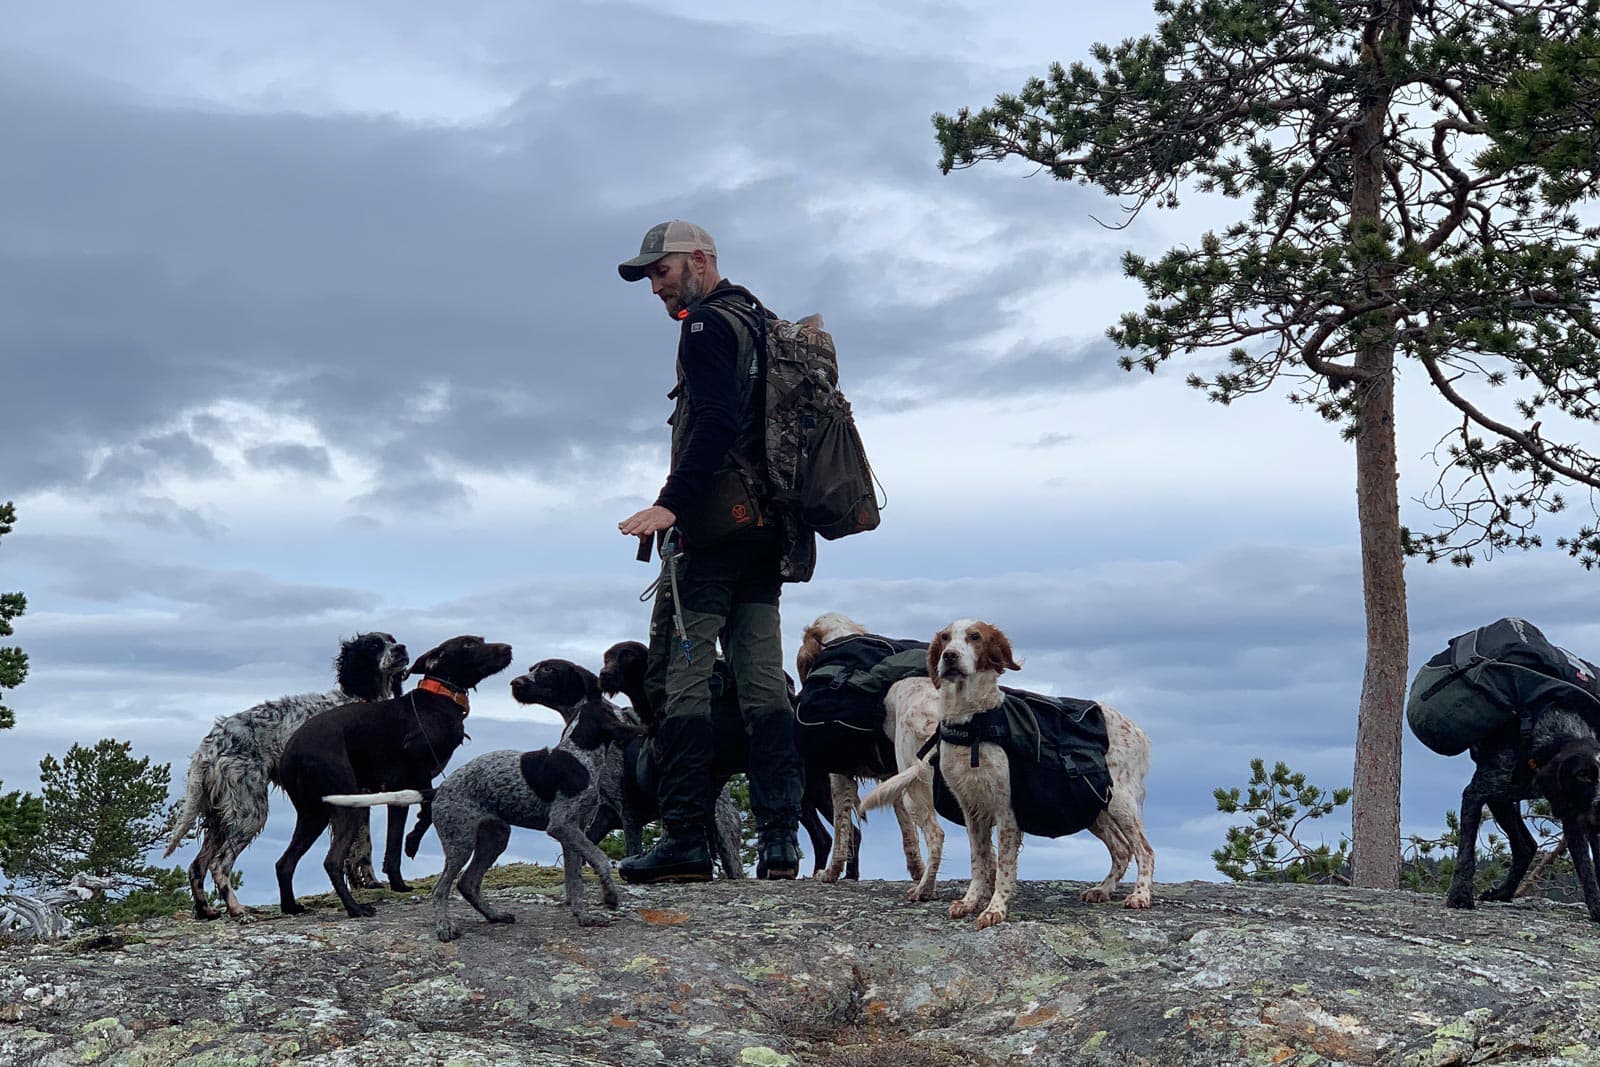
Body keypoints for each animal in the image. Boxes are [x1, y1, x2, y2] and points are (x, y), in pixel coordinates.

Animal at [163, 633, 409, 921]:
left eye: (392, 639)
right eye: (374, 645)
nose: (401, 649)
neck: (361, 701)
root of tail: (208, 747)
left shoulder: (357, 798)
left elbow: (359, 848)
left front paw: (366, 882)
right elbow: (361, 846)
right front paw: (369, 882)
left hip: (221, 817)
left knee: (196, 866)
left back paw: (206, 910)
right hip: (250, 812)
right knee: (219, 864)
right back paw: (237, 909)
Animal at [273, 633, 512, 921]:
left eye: (480, 640)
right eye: (468, 644)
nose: (508, 648)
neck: (440, 698)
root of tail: (290, 752)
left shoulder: (398, 793)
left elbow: (393, 846)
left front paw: (398, 883)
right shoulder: (418, 768)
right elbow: (427, 812)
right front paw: (413, 842)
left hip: (314, 814)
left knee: (284, 863)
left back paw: (291, 906)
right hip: (346, 806)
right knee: (331, 861)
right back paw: (355, 908)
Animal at [793, 614, 934, 889]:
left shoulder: (839, 776)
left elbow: (842, 830)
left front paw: (830, 873)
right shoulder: (891, 778)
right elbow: (908, 834)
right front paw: (916, 870)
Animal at [870, 620, 1158, 927]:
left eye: (975, 637)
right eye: (946, 638)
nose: (949, 656)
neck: (974, 723)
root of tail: (1137, 730)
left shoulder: (1006, 809)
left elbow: (1003, 866)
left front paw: (994, 909)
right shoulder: (972, 810)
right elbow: (979, 861)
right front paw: (970, 902)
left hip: (1120, 802)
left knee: (1144, 850)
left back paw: (1140, 895)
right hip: (1093, 806)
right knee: (1121, 849)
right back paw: (1102, 889)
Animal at [1446, 703, 1600, 921]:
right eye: (1583, 775)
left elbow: (1588, 867)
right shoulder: (1476, 792)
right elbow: (1466, 854)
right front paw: (1460, 895)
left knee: (1526, 846)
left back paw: (1504, 892)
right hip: (1498, 797)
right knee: (1525, 845)